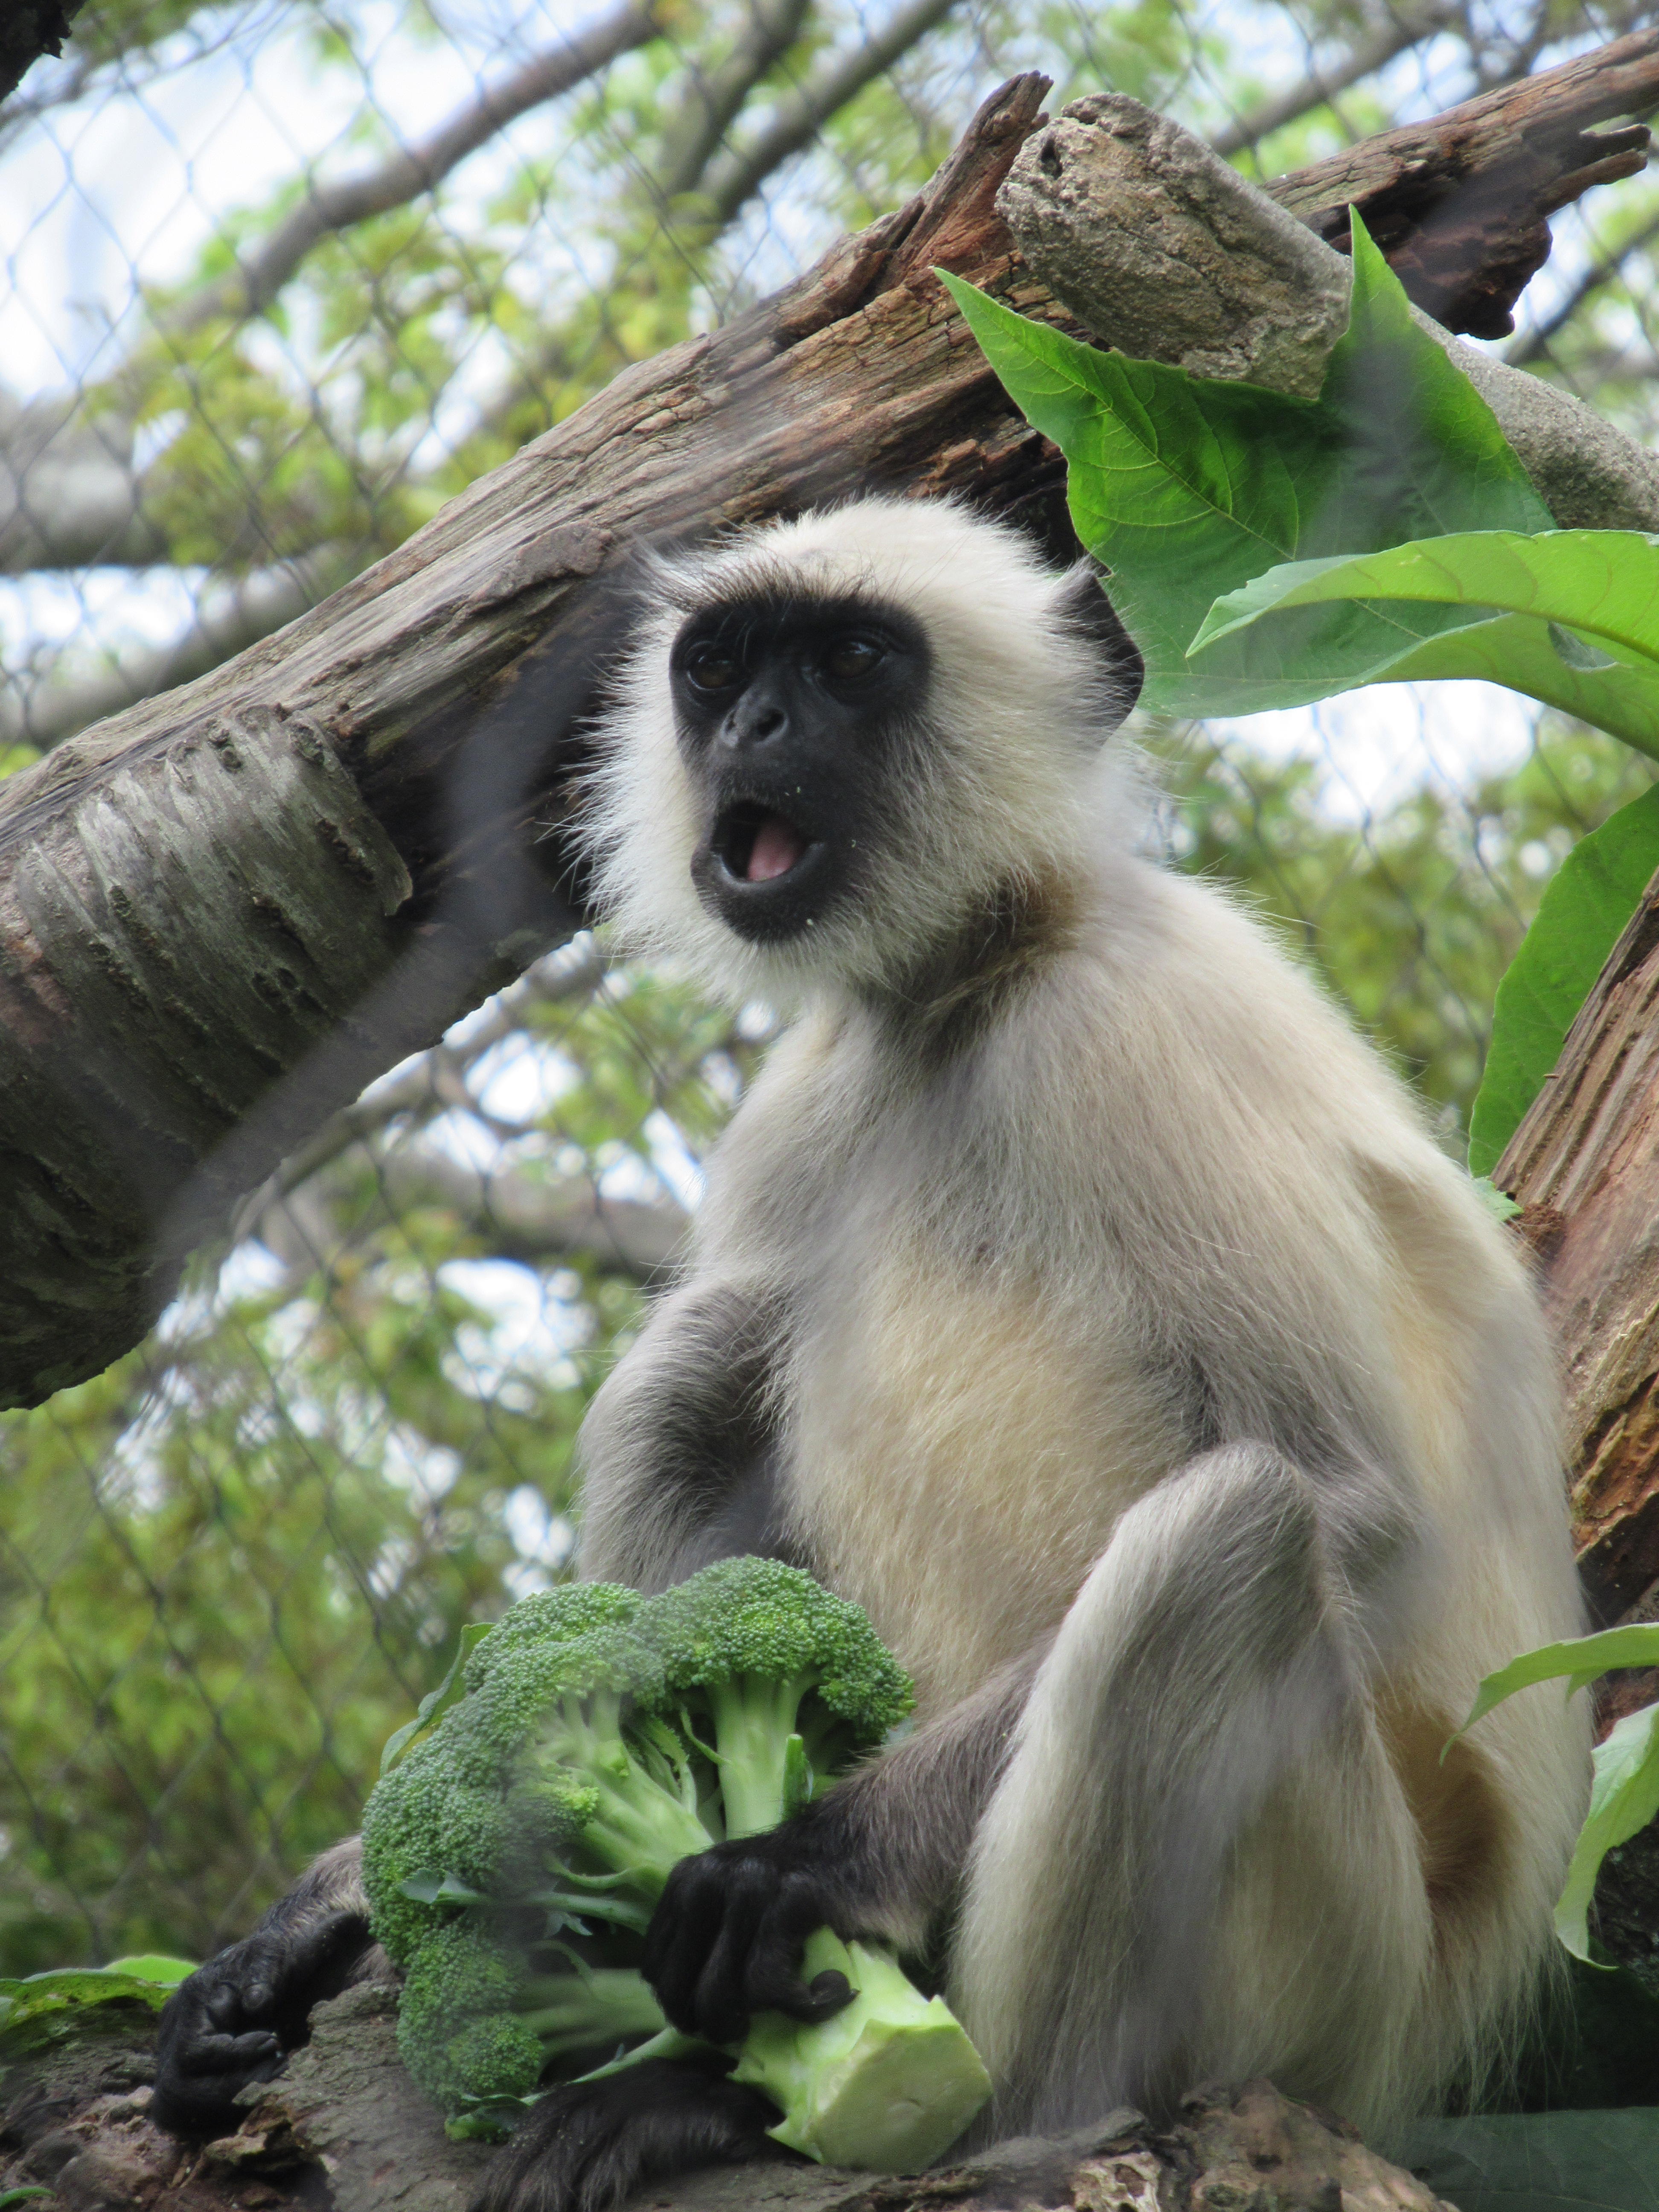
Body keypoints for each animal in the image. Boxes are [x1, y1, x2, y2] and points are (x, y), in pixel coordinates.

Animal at [156, 502, 1601, 2212]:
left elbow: (1362, 1508)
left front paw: (800, 1865)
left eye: (852, 663)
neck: (970, 987)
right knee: (713, 1348)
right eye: (722, 671)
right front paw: (340, 1904)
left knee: (1229, 1539)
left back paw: (930, 2114)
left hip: (1338, 1977)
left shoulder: (1134, 1029)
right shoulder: (816, 1089)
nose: (757, 732)